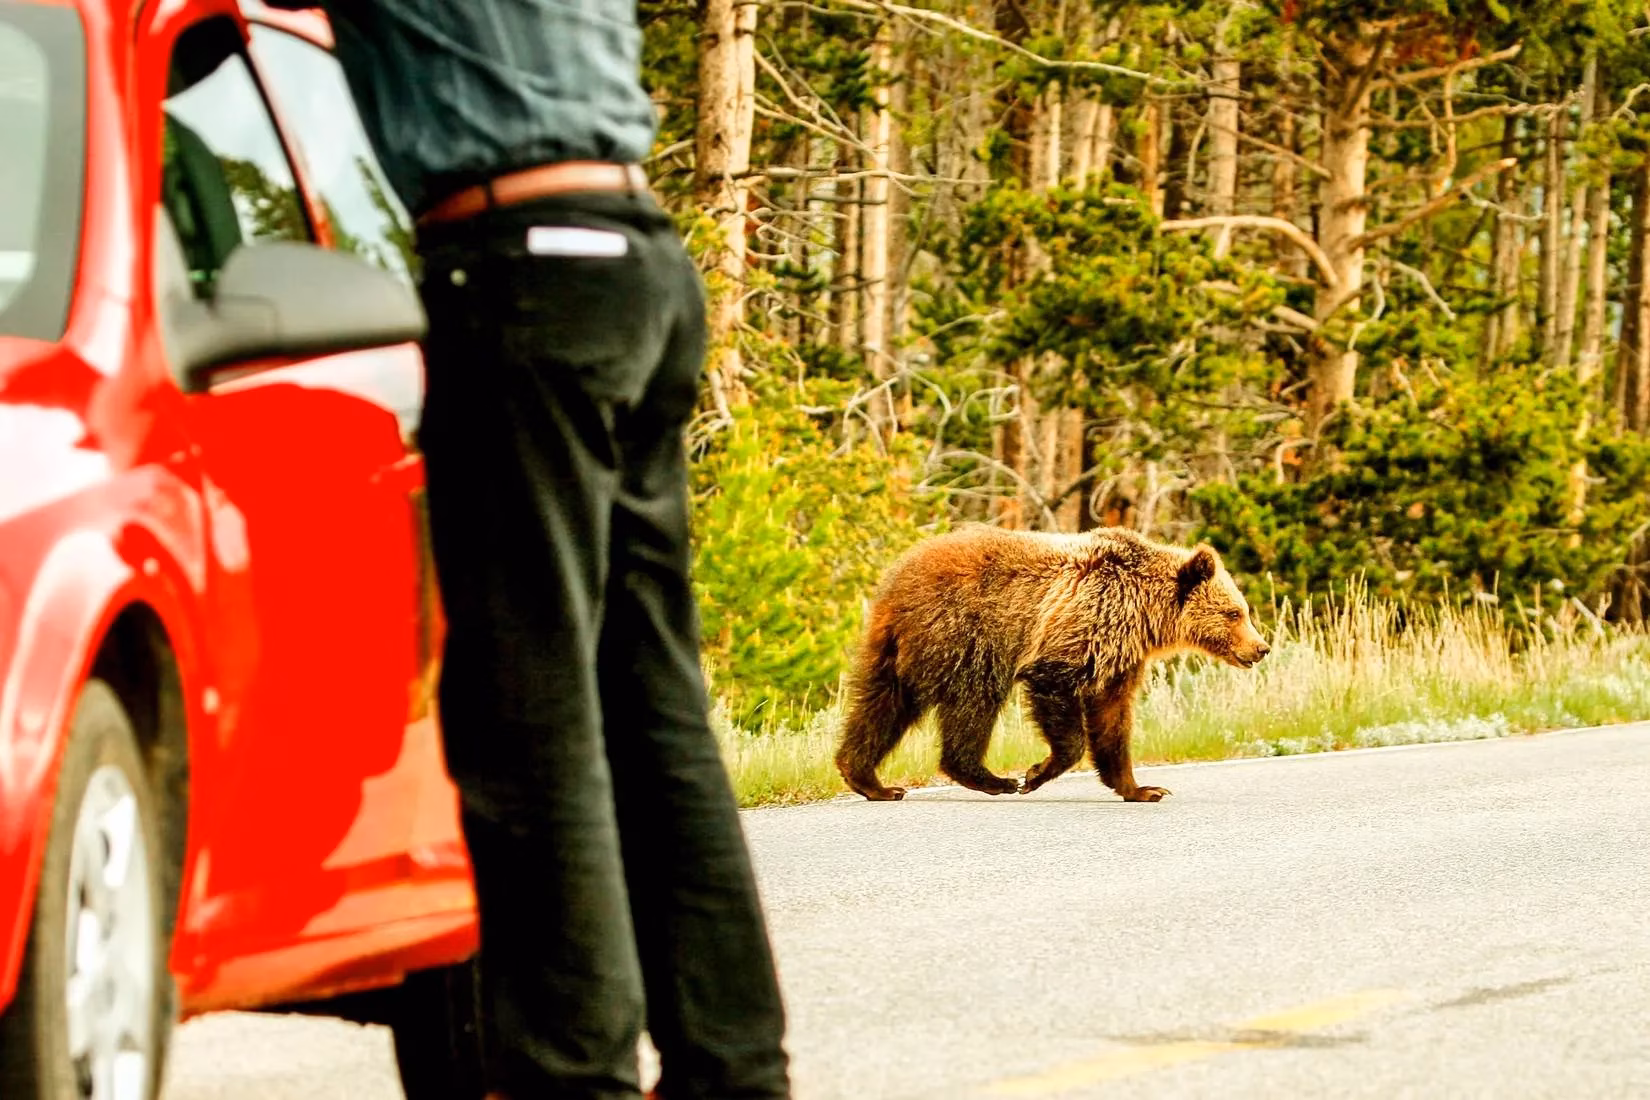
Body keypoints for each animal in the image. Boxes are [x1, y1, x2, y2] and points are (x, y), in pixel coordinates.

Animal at [834, 524, 1269, 802]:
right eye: (1234, 613)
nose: (1261, 647)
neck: (1144, 612)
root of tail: (898, 579)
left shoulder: (1122, 659)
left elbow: (1113, 719)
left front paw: (1143, 789)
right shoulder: (1084, 624)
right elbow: (1055, 687)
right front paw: (1036, 773)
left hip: (894, 650)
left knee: (881, 707)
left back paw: (870, 780)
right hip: (966, 637)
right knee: (973, 702)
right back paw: (993, 779)